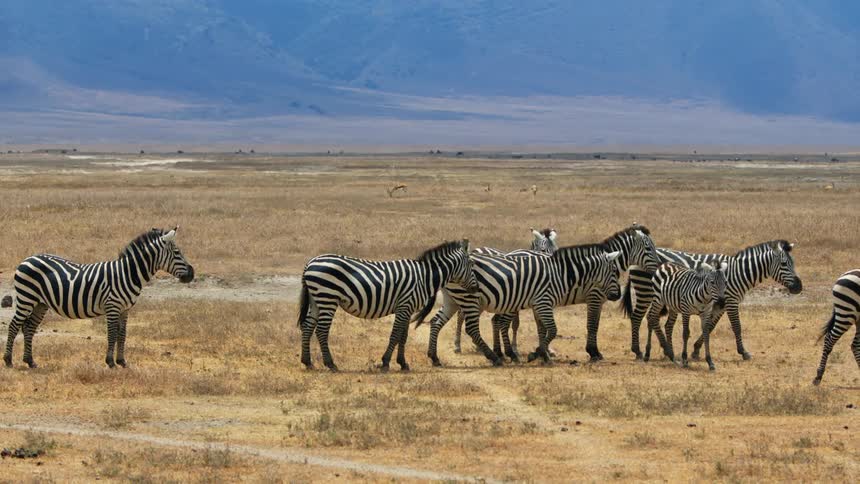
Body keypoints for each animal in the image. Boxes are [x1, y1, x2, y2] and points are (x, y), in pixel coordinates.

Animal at [4, 227, 194, 369]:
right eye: (177, 252)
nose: (192, 274)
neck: (128, 274)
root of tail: (27, 258)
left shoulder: (125, 309)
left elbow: (122, 334)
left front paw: (122, 361)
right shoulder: (112, 306)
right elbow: (112, 334)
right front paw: (110, 362)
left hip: (40, 303)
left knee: (29, 328)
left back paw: (30, 362)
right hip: (26, 298)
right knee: (14, 326)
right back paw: (8, 361)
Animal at [297, 240, 478, 372]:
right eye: (471, 264)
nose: (476, 287)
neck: (424, 278)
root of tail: (310, 262)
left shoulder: (408, 308)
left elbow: (403, 336)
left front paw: (403, 363)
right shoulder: (404, 306)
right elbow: (395, 335)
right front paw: (385, 363)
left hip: (316, 299)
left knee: (307, 327)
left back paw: (307, 362)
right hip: (328, 297)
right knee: (321, 331)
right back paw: (330, 364)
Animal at [420, 243, 623, 367]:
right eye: (614, 271)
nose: (618, 295)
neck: (561, 274)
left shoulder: (540, 304)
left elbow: (543, 330)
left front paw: (544, 355)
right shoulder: (543, 301)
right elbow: (553, 330)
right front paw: (536, 354)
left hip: (452, 300)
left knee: (436, 322)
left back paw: (434, 357)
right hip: (469, 299)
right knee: (471, 329)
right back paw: (494, 357)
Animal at [623, 240, 802, 361]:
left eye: (793, 263)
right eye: (784, 263)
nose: (799, 287)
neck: (738, 273)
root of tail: (634, 260)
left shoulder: (721, 304)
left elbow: (710, 326)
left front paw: (696, 350)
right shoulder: (730, 301)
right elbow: (737, 326)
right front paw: (743, 352)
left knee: (651, 319)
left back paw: (663, 350)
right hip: (645, 291)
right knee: (637, 317)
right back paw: (637, 350)